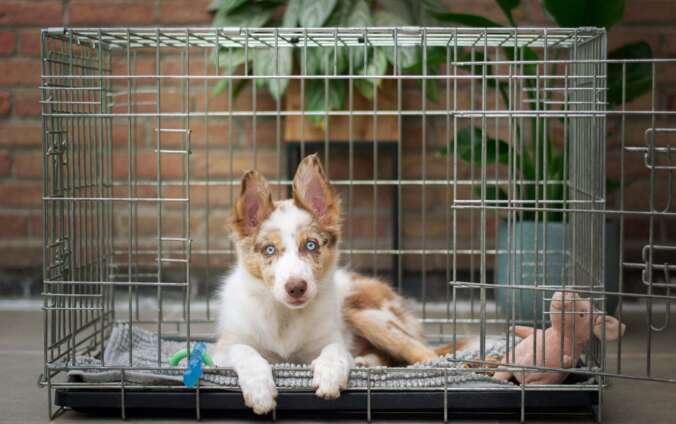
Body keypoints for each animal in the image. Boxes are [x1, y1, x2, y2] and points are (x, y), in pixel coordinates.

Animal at [213, 153, 454, 414]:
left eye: (311, 245)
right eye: (269, 249)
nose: (296, 287)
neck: (285, 316)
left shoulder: (330, 339)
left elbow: (335, 350)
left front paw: (329, 376)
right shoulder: (222, 348)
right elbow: (244, 351)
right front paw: (260, 390)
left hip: (366, 313)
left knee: (424, 353)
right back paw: (365, 362)